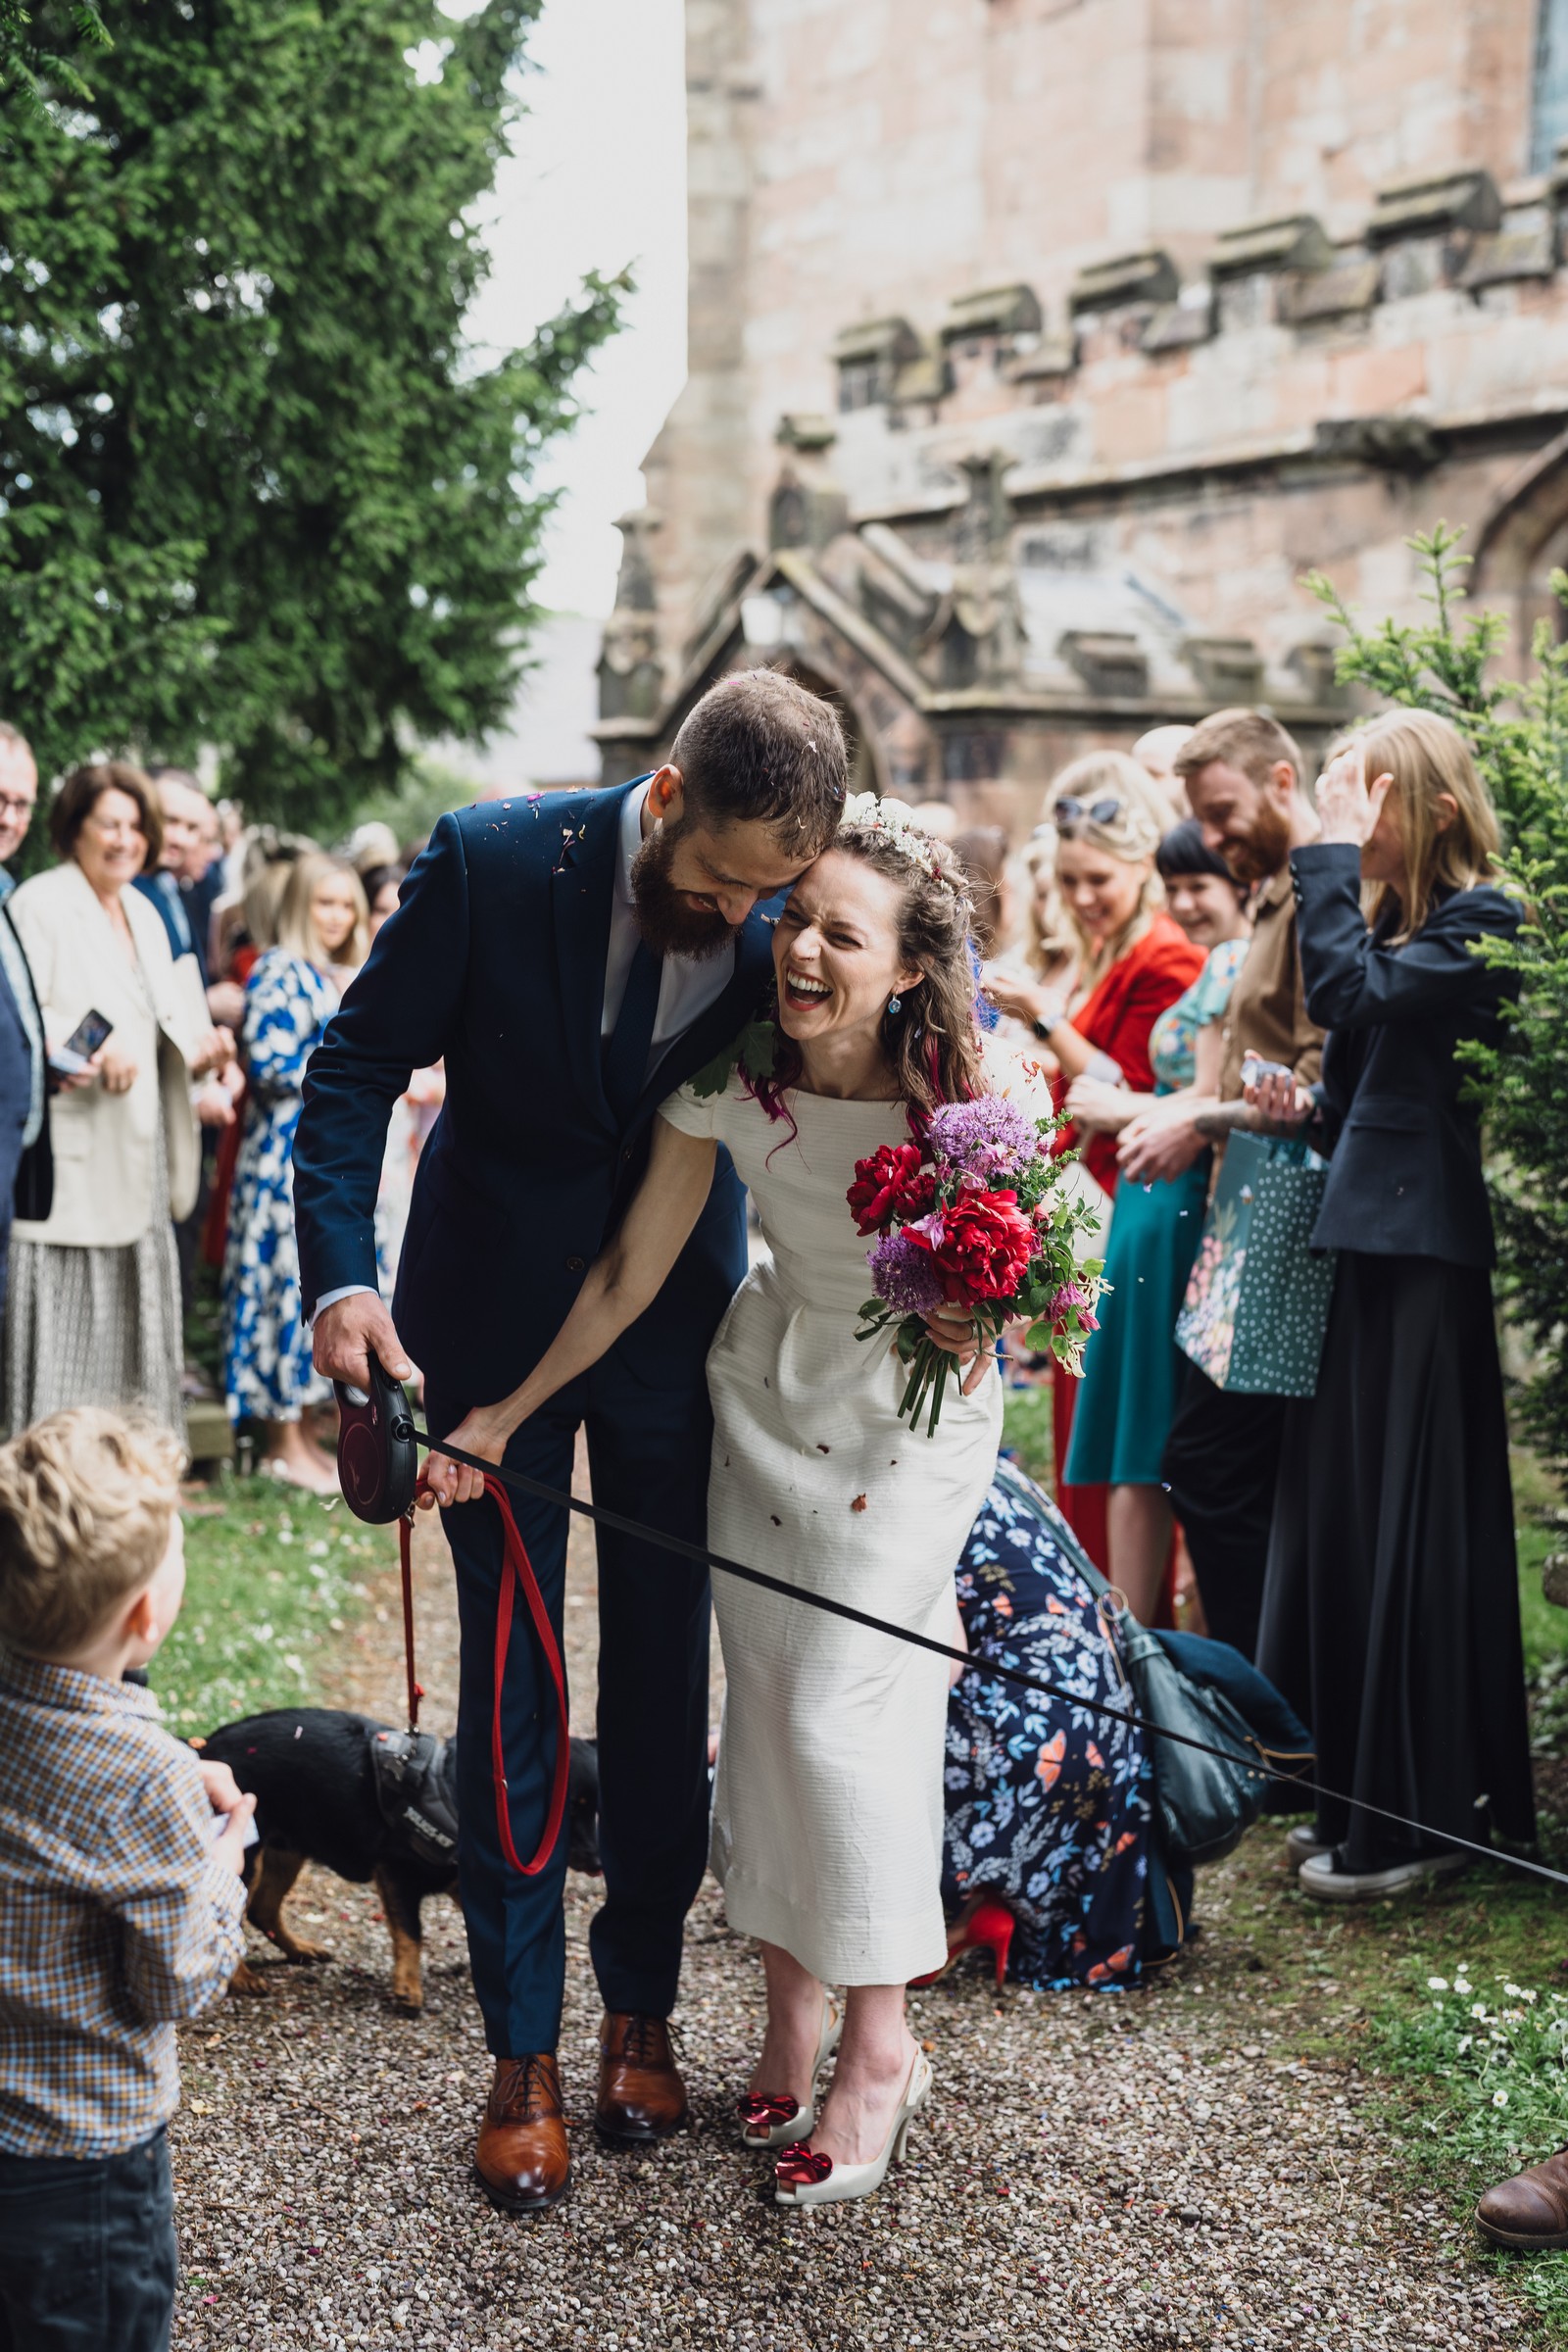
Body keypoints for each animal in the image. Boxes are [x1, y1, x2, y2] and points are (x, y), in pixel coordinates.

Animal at [201, 1702, 602, 2013]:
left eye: (596, 1808)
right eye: (567, 1811)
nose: (599, 1863)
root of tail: (205, 1748)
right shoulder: (397, 1874)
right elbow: (412, 1932)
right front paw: (408, 1987)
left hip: (288, 1848)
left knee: (263, 1908)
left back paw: (299, 1950)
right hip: (243, 1851)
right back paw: (240, 1978)